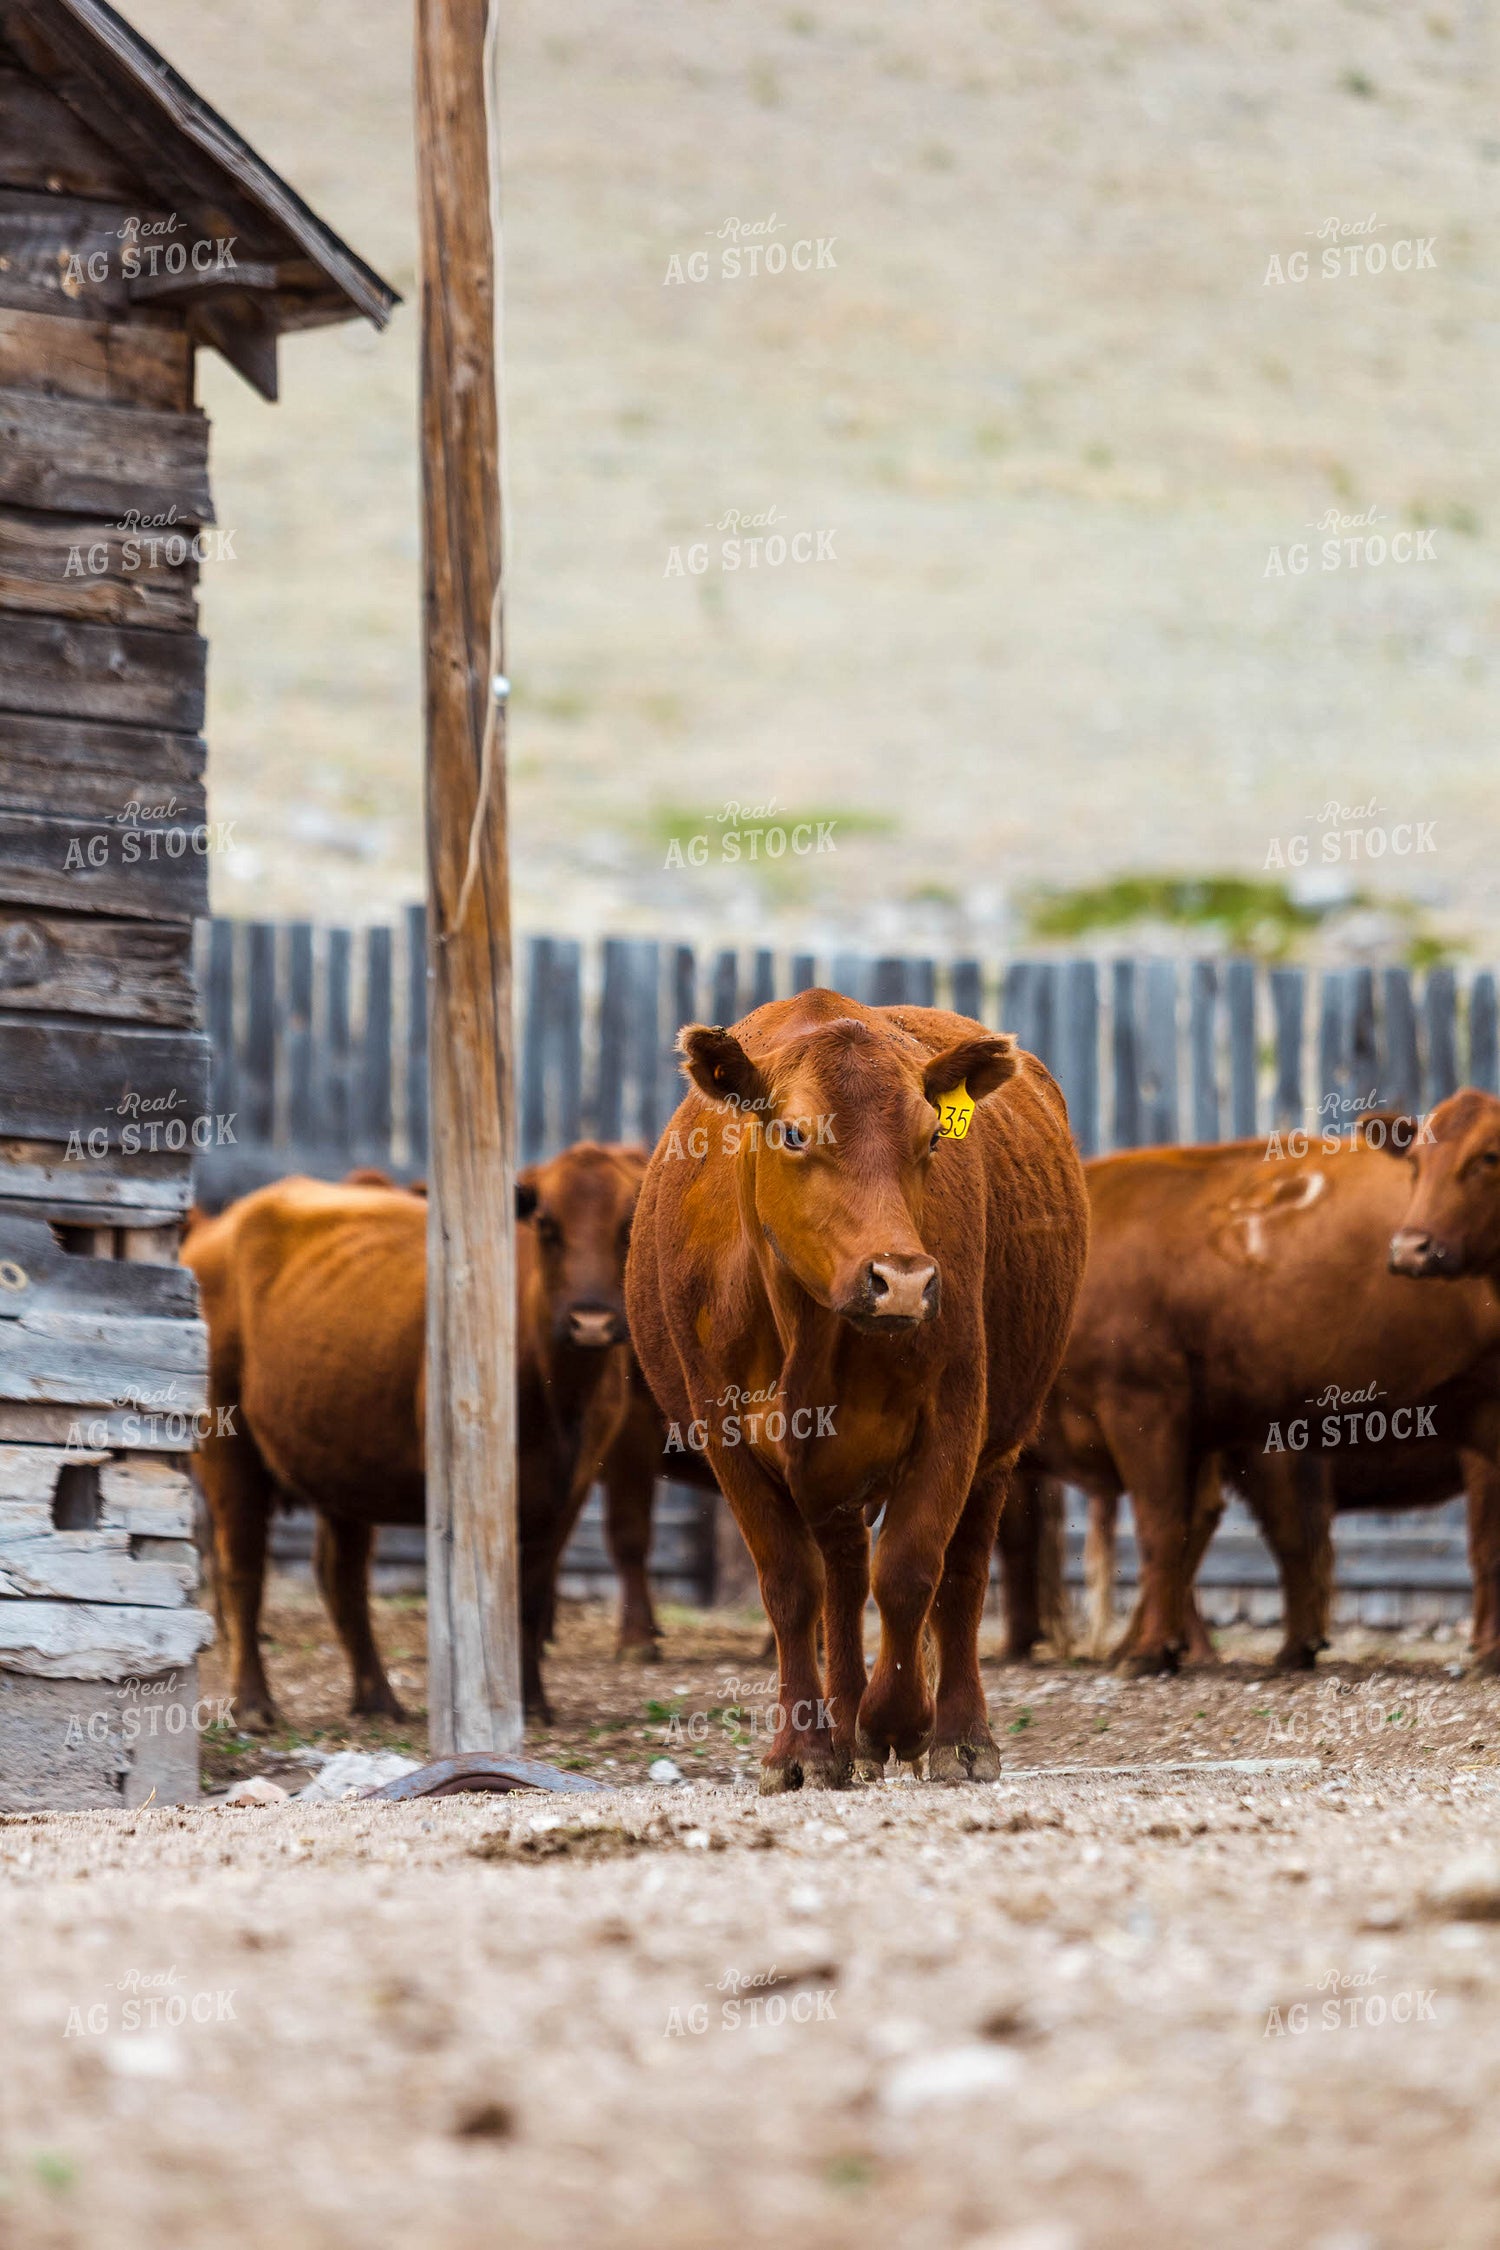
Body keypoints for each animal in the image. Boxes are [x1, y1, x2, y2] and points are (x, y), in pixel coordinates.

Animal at [185, 1142, 646, 1731]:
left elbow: (533, 1594)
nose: (591, 1322)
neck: (558, 1392)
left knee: (342, 1579)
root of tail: (221, 1226)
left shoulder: (572, 1491)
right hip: (230, 1452)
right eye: (546, 1223)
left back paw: (377, 1696)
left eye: (626, 1223)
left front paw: (534, 1700)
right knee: (242, 1571)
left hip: (342, 1472)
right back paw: (253, 1702)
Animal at [624, 989, 1090, 1791]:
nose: (902, 1279)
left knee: (961, 1576)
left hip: (1000, 1443)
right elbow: (791, 1587)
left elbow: (909, 1570)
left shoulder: (956, 1415)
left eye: (932, 1137)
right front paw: (801, 1749)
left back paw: (957, 1735)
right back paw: (838, 1729)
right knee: (839, 1578)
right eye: (792, 1132)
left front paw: (897, 1723)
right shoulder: (726, 1437)